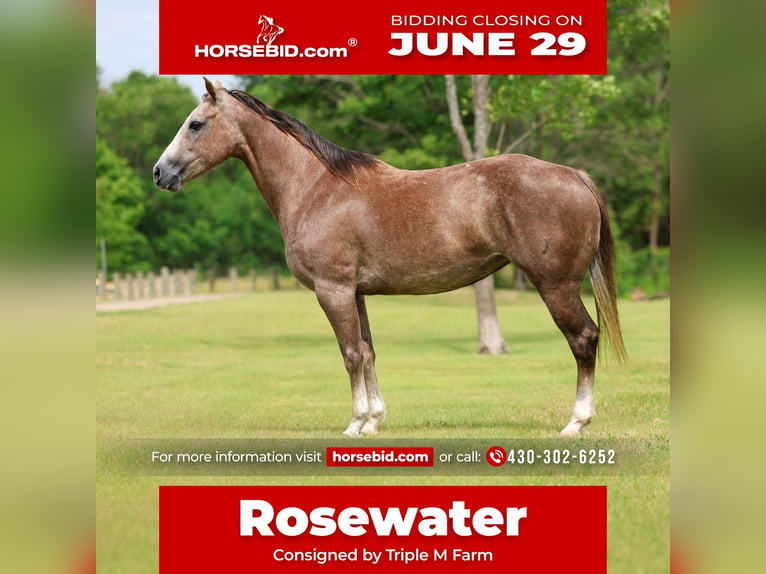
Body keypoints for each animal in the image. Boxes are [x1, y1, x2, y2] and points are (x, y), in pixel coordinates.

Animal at [153, 78, 626, 437]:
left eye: (196, 124)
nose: (161, 172)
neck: (316, 188)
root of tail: (575, 176)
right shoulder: (356, 292)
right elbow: (368, 351)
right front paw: (373, 421)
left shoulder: (333, 290)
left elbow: (349, 354)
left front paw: (354, 424)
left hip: (556, 286)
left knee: (584, 339)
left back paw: (576, 423)